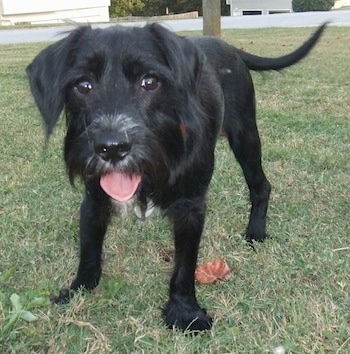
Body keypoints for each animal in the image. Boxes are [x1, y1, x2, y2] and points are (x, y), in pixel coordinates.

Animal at [26, 23, 326, 330]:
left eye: (150, 82)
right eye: (83, 85)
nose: (112, 147)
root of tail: (229, 47)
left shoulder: (190, 207)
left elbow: (185, 265)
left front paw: (185, 312)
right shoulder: (94, 200)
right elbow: (88, 250)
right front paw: (78, 290)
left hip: (245, 138)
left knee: (261, 186)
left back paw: (256, 232)